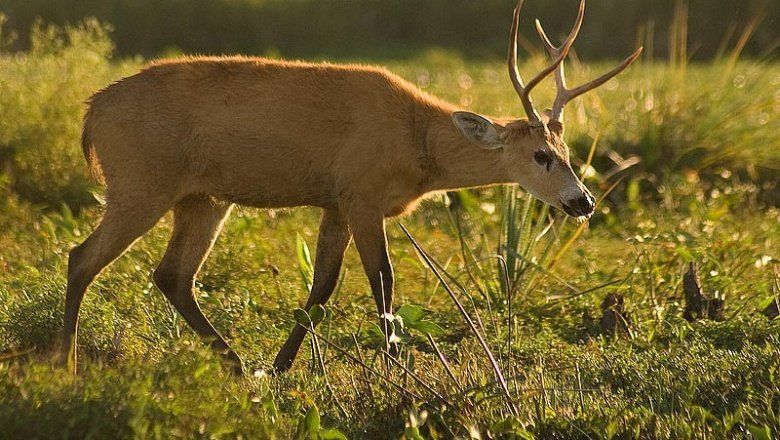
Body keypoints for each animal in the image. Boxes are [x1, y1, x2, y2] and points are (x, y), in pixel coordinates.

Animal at [59, 0, 640, 374]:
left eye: (569, 154)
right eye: (541, 155)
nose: (583, 201)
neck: (418, 142)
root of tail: (91, 112)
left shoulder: (336, 202)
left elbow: (321, 288)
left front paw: (281, 366)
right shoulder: (362, 194)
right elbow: (382, 282)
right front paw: (396, 368)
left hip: (202, 197)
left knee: (172, 276)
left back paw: (238, 364)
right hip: (141, 181)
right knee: (81, 257)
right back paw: (65, 361)